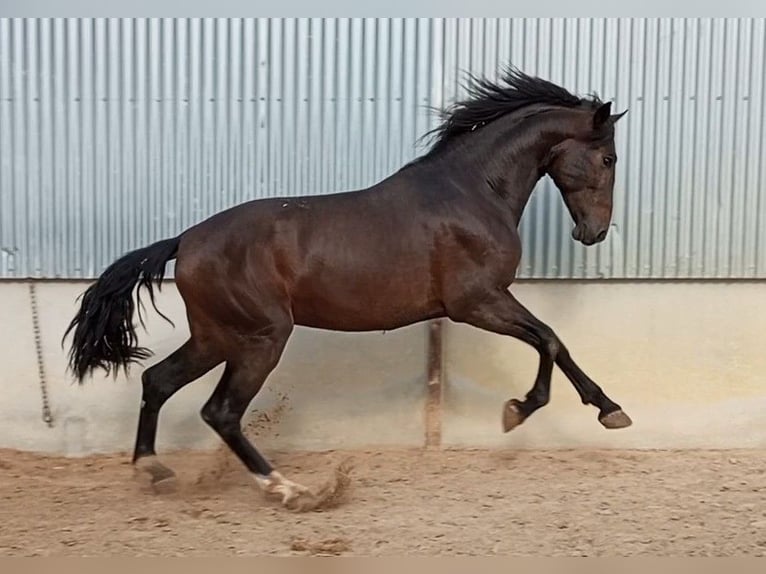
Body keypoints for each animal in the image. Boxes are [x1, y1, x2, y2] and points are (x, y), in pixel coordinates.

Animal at [64, 66, 632, 508]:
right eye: (608, 159)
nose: (595, 233)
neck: (471, 193)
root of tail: (185, 240)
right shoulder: (477, 302)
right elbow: (550, 339)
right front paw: (526, 409)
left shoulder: (485, 303)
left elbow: (554, 341)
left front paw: (602, 409)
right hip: (260, 338)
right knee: (220, 411)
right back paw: (291, 491)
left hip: (216, 336)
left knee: (157, 381)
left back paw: (153, 470)